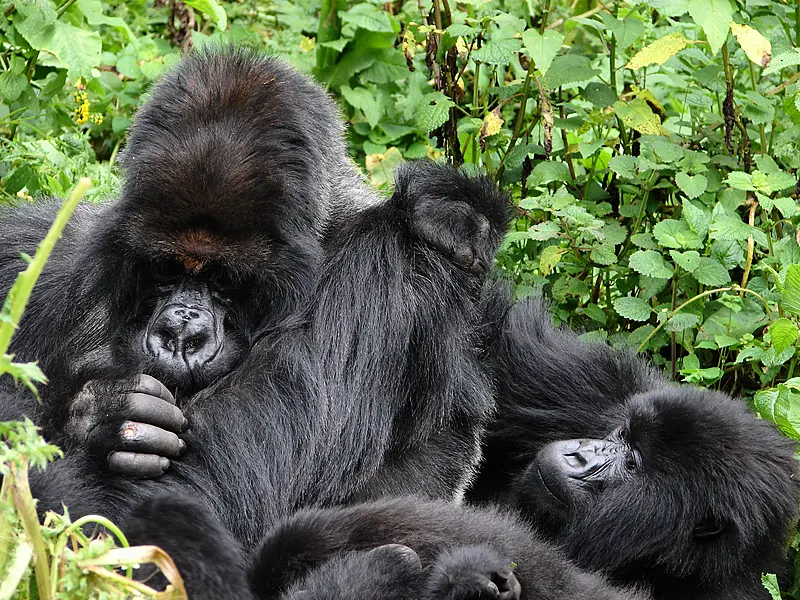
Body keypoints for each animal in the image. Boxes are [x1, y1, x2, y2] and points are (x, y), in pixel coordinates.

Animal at [0, 49, 510, 552]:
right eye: (166, 269)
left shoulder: (381, 274)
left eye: (225, 280)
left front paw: (101, 418)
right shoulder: (49, 248)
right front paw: (101, 413)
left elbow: (191, 493)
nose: (179, 333)